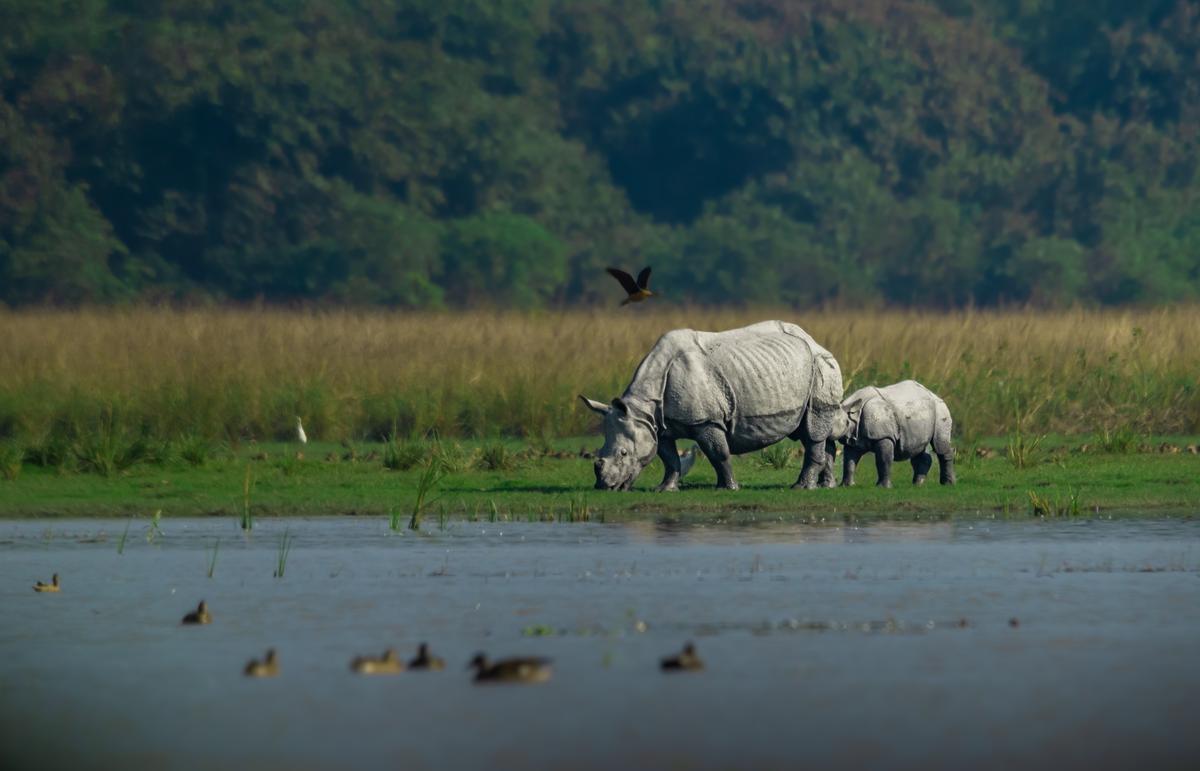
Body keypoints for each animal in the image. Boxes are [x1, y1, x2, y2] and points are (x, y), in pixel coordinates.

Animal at [579, 320, 844, 491]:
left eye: (623, 453)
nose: (604, 486)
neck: (641, 408)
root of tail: (815, 341)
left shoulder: (706, 420)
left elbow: (718, 453)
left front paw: (728, 488)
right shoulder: (659, 425)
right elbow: (669, 458)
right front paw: (665, 489)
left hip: (822, 365)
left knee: (813, 428)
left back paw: (801, 487)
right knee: (813, 430)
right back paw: (825, 486)